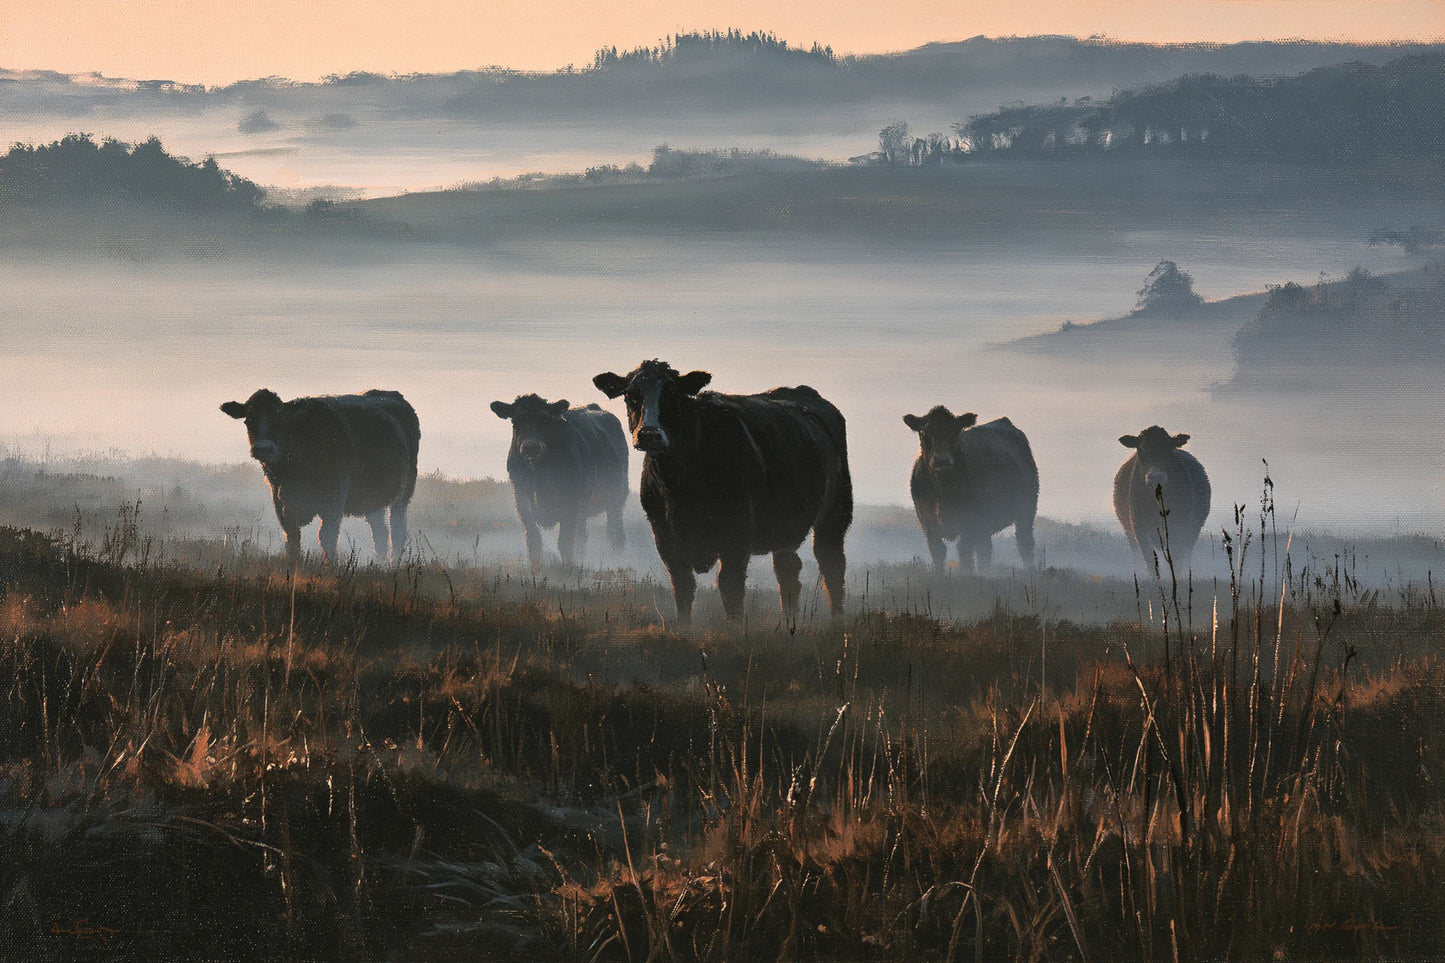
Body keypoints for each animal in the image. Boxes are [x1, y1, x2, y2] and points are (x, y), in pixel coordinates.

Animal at [220, 388, 420, 566]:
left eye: (281, 420)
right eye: (249, 420)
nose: (263, 448)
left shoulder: (334, 500)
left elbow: (326, 537)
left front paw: (331, 567)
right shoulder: (280, 501)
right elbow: (292, 538)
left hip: (404, 493)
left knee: (397, 529)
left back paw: (394, 563)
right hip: (373, 499)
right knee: (379, 531)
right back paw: (380, 563)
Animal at [490, 394, 629, 569]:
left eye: (545, 419)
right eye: (516, 420)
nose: (531, 447)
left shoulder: (570, 505)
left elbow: (565, 542)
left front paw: (567, 570)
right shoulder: (522, 502)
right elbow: (534, 541)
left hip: (617, 498)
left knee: (615, 533)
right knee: (582, 538)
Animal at [593, 360, 852, 625]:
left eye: (673, 394)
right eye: (631, 396)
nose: (649, 434)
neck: (680, 486)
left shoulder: (736, 537)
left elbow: (730, 587)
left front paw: (735, 628)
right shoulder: (665, 538)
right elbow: (682, 588)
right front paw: (684, 628)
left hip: (836, 512)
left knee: (832, 564)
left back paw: (837, 620)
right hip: (786, 526)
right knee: (787, 569)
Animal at [904, 406, 1039, 574]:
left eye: (956, 431)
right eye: (923, 432)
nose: (941, 460)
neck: (944, 490)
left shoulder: (970, 523)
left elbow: (964, 553)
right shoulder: (928, 522)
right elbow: (938, 552)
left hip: (1027, 510)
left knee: (1024, 543)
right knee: (984, 551)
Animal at [1114, 425, 1211, 564]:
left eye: (1169, 448)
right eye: (1142, 449)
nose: (1156, 476)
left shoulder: (1182, 527)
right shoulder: (1139, 528)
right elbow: (1150, 560)